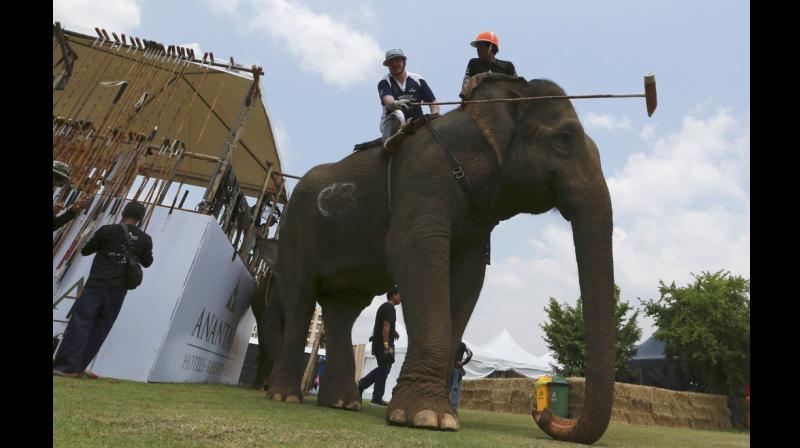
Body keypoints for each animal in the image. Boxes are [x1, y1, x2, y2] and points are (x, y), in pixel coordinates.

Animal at [263, 73, 615, 445]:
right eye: (563, 140)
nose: (541, 411)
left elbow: (469, 278)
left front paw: (441, 416)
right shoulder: (425, 179)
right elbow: (416, 254)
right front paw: (425, 418)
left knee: (343, 308)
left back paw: (343, 404)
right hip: (295, 231)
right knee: (301, 301)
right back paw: (285, 396)